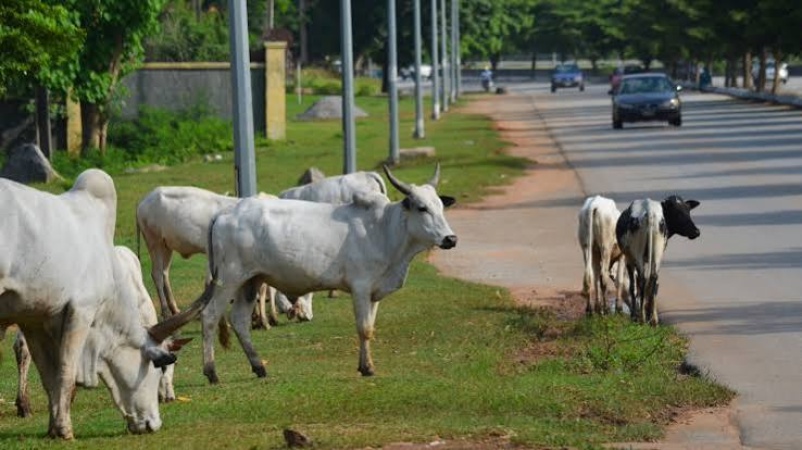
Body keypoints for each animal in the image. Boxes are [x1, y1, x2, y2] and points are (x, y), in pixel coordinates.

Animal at [136, 186, 311, 326]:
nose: (309, 317)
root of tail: (144, 201)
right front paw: (262, 319)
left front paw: (260, 317)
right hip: (154, 242)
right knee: (157, 275)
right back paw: (166, 313)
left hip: (166, 246)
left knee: (164, 273)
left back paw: (175, 310)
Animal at [201, 164, 457, 383]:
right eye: (422, 208)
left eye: (441, 207)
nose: (450, 239)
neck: (384, 229)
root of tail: (225, 213)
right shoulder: (360, 287)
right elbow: (363, 328)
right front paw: (367, 368)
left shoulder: (374, 292)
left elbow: (370, 328)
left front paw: (365, 365)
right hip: (229, 280)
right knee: (210, 316)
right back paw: (211, 372)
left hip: (250, 281)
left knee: (240, 320)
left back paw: (259, 366)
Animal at [616, 195, 700, 325]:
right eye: (678, 213)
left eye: (688, 211)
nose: (696, 232)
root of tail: (649, 211)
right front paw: (650, 314)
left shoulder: (629, 259)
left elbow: (633, 287)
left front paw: (635, 315)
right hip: (657, 252)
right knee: (653, 278)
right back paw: (653, 319)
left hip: (639, 254)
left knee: (642, 280)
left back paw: (641, 318)